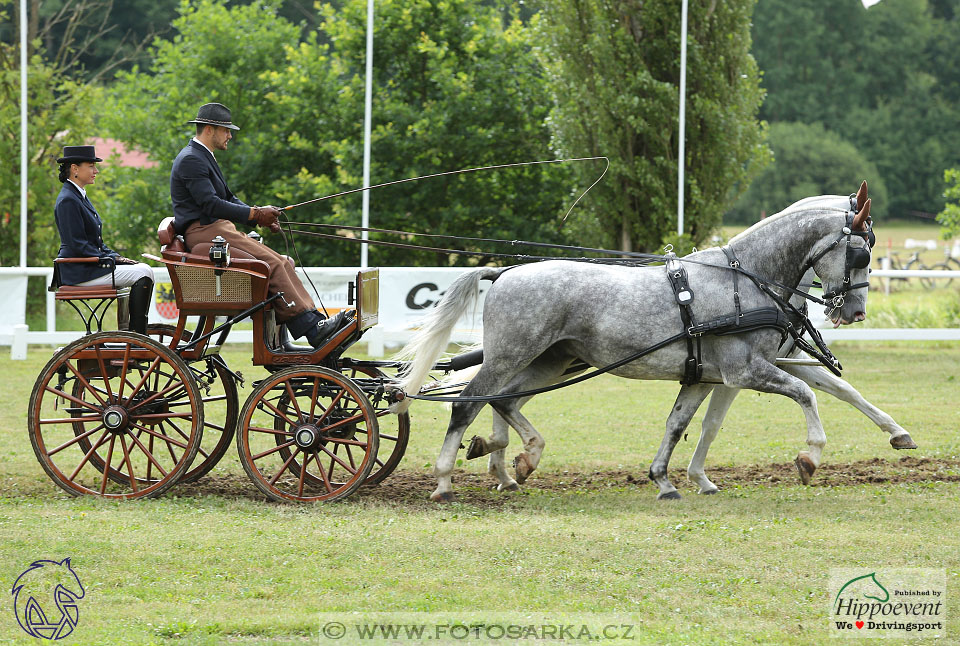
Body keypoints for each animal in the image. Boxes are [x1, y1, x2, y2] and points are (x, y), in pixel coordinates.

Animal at [394, 186, 872, 502]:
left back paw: (521, 460)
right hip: (512, 355)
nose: (855, 312)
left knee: (504, 400)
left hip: (547, 360)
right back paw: (444, 480)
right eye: (860, 254)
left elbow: (678, 424)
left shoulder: (703, 377)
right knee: (468, 403)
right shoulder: (745, 371)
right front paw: (810, 457)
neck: (745, 279)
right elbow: (806, 393)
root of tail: (504, 273)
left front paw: (663, 479)